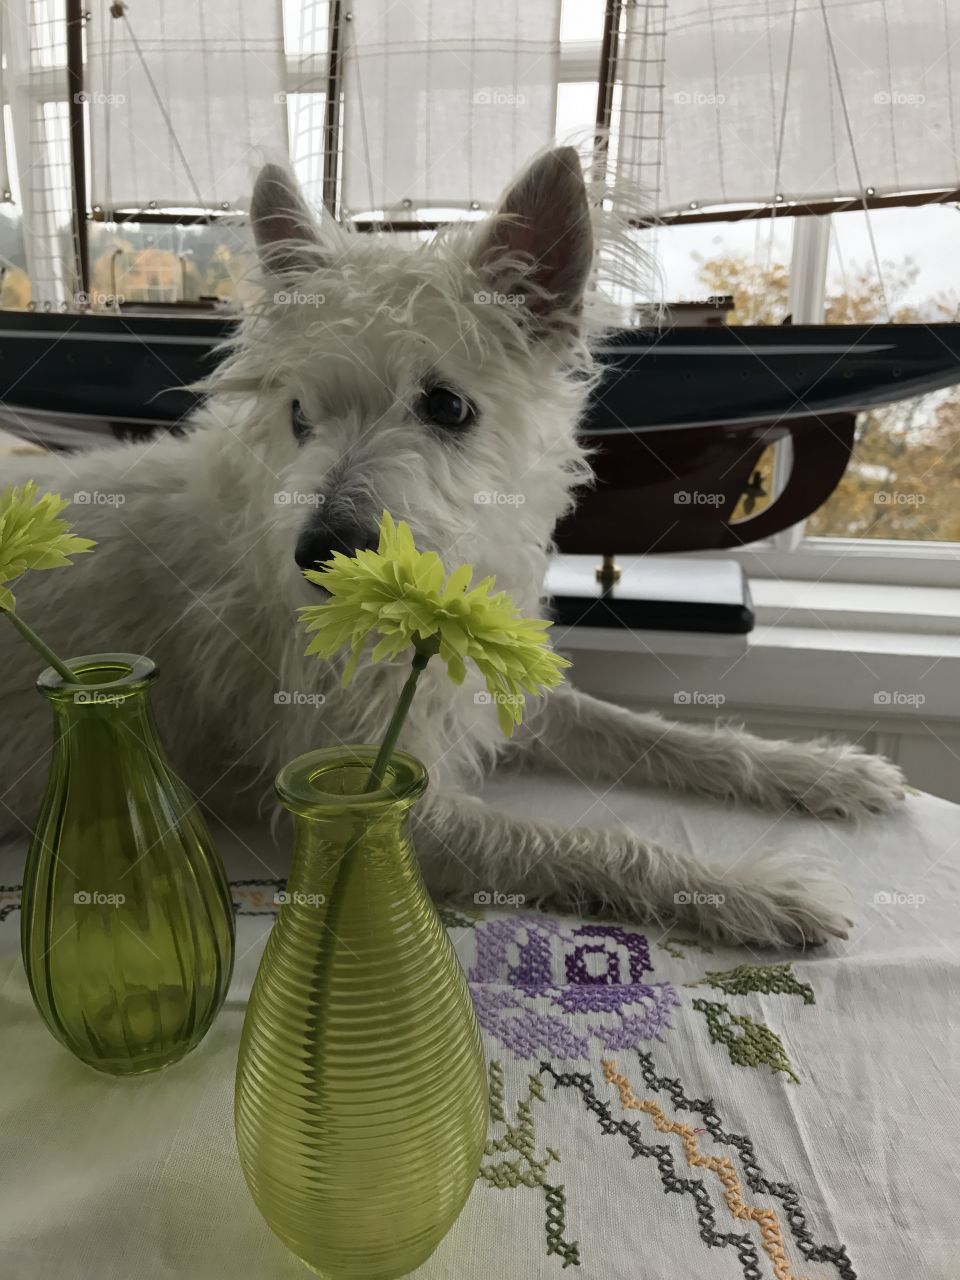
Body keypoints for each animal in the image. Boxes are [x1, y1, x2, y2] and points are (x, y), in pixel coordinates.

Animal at [0, 152, 906, 952]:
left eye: (446, 406)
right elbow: (592, 842)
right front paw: (749, 890)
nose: (323, 554)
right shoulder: (386, 807)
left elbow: (652, 734)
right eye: (299, 416)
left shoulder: (494, 690)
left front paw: (817, 771)